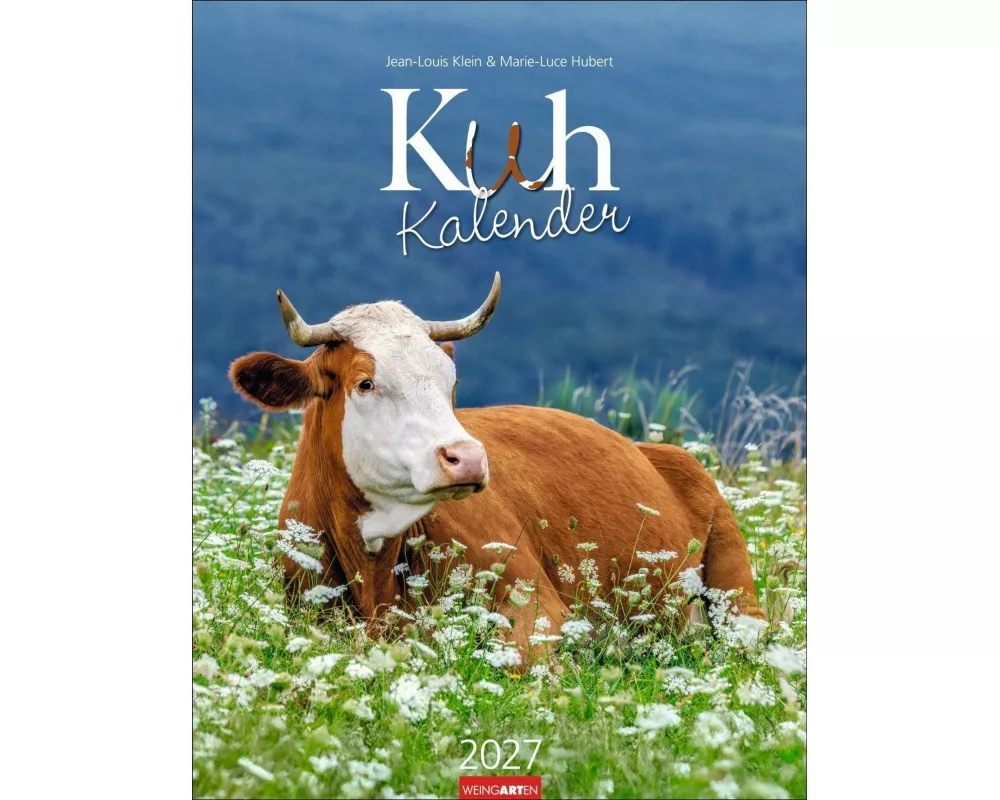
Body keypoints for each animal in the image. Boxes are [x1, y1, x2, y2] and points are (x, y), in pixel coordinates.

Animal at [229, 273, 763, 654]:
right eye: (365, 382)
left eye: (452, 382)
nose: (466, 458)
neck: (373, 563)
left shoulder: (540, 607)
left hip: (737, 592)